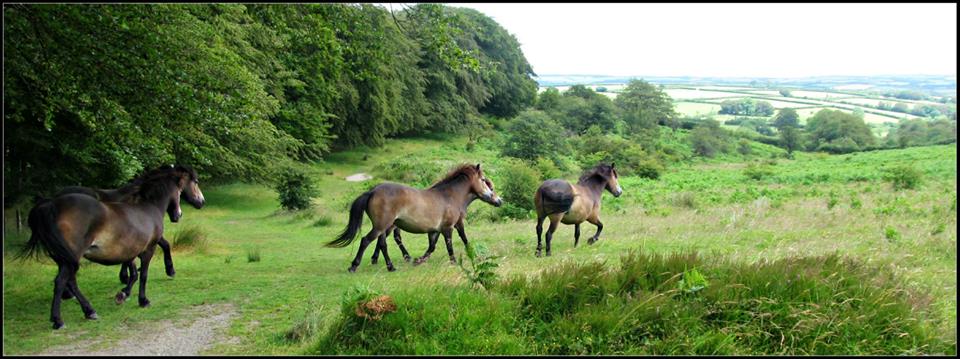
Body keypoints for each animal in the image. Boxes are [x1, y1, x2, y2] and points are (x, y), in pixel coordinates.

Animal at [21, 166, 204, 330]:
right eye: (193, 183)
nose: (178, 215)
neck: (148, 207)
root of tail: (52, 204)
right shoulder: (148, 249)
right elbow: (143, 274)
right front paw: (143, 300)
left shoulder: (130, 251)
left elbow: (133, 272)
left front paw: (123, 293)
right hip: (71, 257)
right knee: (61, 281)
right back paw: (59, 320)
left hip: (64, 258)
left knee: (70, 281)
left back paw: (88, 311)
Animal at [326, 164, 502, 272]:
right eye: (484, 181)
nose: (499, 200)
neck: (450, 196)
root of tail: (373, 191)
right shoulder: (448, 228)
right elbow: (451, 245)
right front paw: (453, 262)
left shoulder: (435, 231)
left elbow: (431, 247)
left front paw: (419, 260)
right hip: (382, 226)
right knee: (366, 241)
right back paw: (354, 266)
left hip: (383, 227)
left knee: (382, 244)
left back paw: (391, 266)